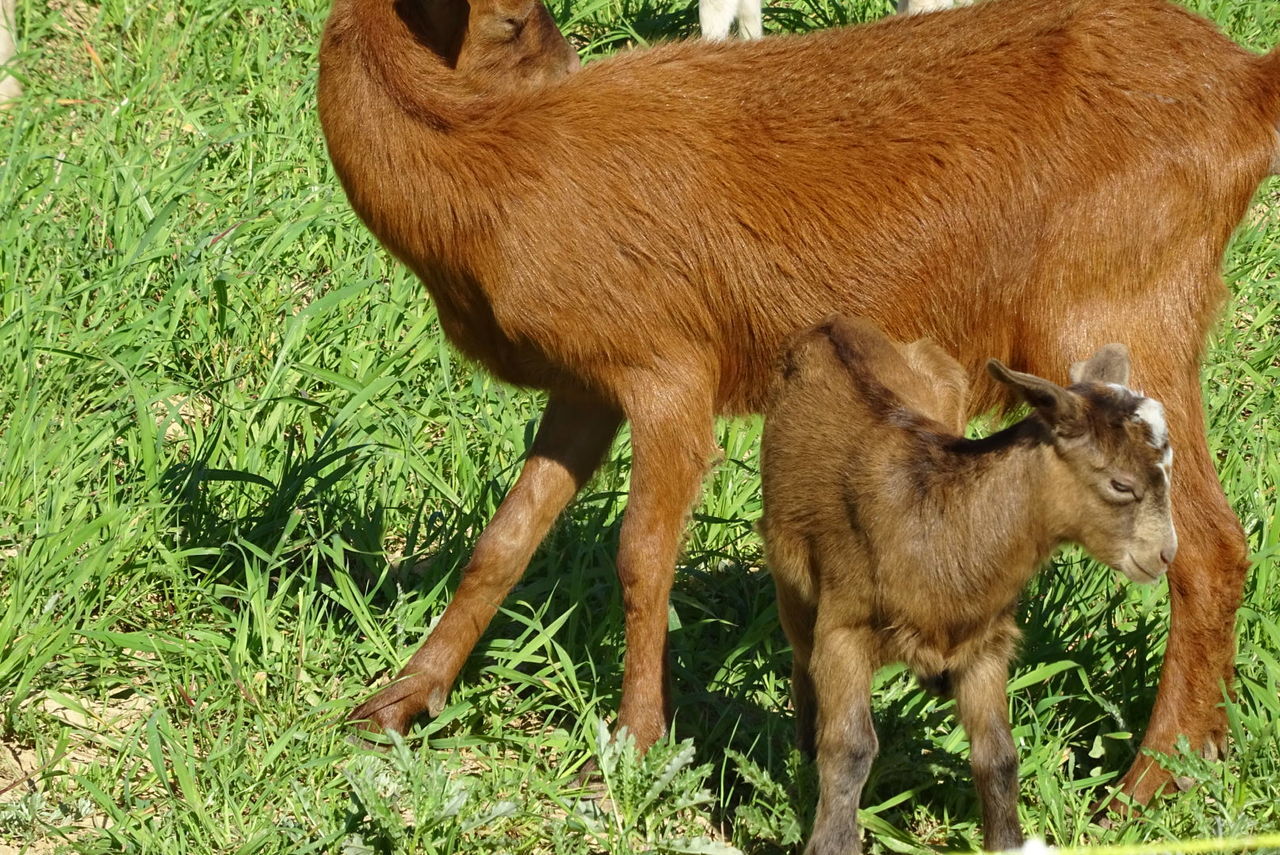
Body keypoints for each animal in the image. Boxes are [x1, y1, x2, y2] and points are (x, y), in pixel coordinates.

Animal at [762, 316, 1172, 855]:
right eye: (1121, 484)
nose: (1164, 554)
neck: (942, 528)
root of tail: (833, 325)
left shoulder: (986, 644)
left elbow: (997, 756)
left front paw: (1008, 841)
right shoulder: (844, 628)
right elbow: (850, 748)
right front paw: (832, 841)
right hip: (789, 575)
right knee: (801, 659)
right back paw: (805, 750)